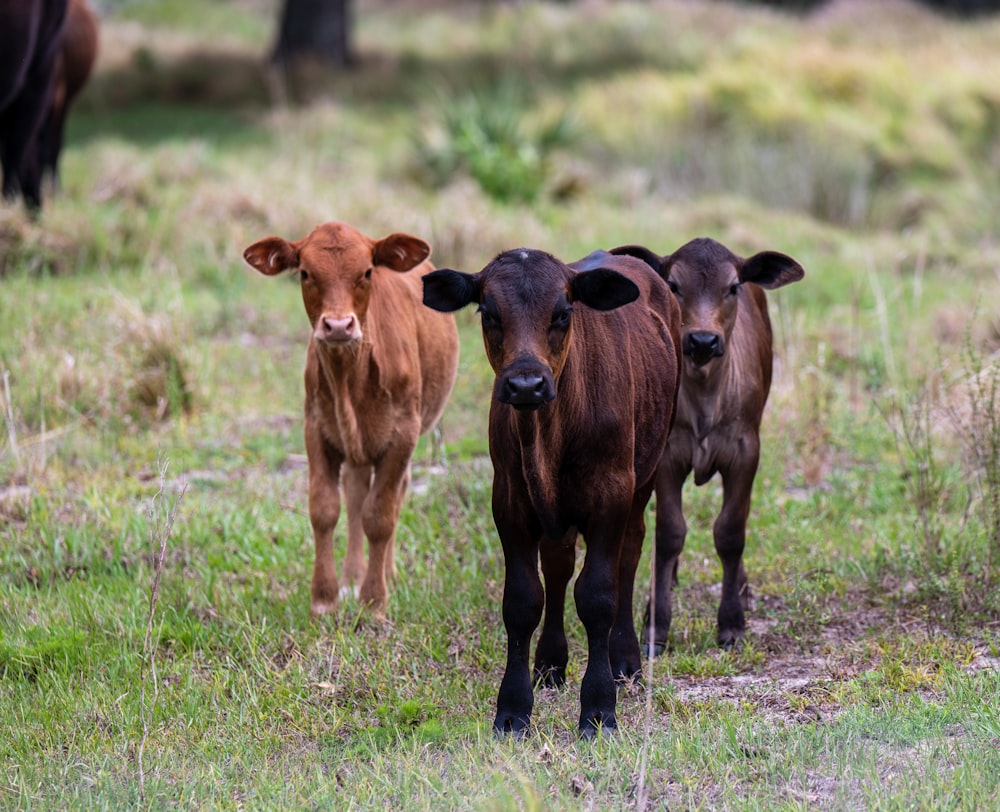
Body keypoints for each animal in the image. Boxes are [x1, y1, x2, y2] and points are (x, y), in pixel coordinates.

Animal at [244, 222, 458, 616]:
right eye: (305, 273)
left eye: (367, 272)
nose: (339, 325)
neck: (348, 377)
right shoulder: (315, 429)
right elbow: (325, 508)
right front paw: (325, 597)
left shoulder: (403, 434)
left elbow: (380, 516)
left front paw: (374, 601)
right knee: (356, 494)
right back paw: (351, 577)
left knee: (392, 495)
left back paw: (386, 575)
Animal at [422, 246, 680, 736]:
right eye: (488, 313)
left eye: (563, 313)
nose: (526, 383)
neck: (547, 436)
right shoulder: (509, 502)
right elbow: (524, 600)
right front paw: (513, 708)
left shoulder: (612, 496)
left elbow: (597, 595)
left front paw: (598, 707)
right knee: (558, 566)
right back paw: (550, 663)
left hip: (647, 472)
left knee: (630, 553)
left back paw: (625, 658)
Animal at [608, 236, 804, 652]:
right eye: (673, 285)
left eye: (732, 287)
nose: (702, 340)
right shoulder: (667, 455)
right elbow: (670, 533)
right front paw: (656, 624)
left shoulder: (745, 451)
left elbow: (730, 531)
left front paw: (731, 622)